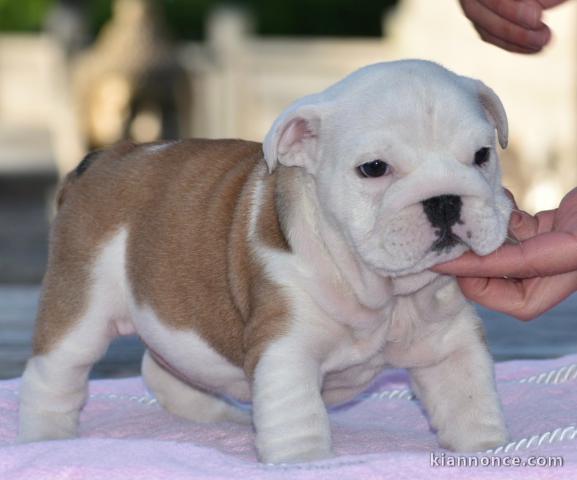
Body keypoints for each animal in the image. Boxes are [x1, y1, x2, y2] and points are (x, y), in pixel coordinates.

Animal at [20, 59, 510, 462]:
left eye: (482, 156)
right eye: (374, 168)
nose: (444, 199)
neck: (381, 290)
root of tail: (101, 159)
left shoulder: (450, 344)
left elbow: (469, 402)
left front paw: (487, 449)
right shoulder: (285, 347)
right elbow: (298, 418)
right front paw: (306, 463)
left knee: (164, 368)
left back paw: (221, 418)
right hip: (81, 304)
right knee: (55, 373)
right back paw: (46, 439)